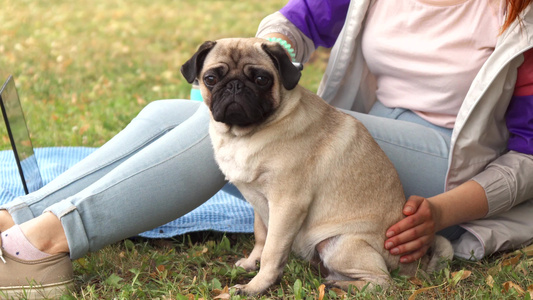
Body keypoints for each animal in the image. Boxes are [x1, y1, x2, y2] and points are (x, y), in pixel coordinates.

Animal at [180, 38, 454, 296]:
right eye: (211, 79)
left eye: (261, 79)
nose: (235, 85)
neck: (244, 135)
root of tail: (414, 266)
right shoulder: (259, 202)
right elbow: (261, 237)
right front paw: (251, 263)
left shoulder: (287, 204)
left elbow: (272, 251)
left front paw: (255, 286)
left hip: (340, 244)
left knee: (382, 281)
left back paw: (340, 285)